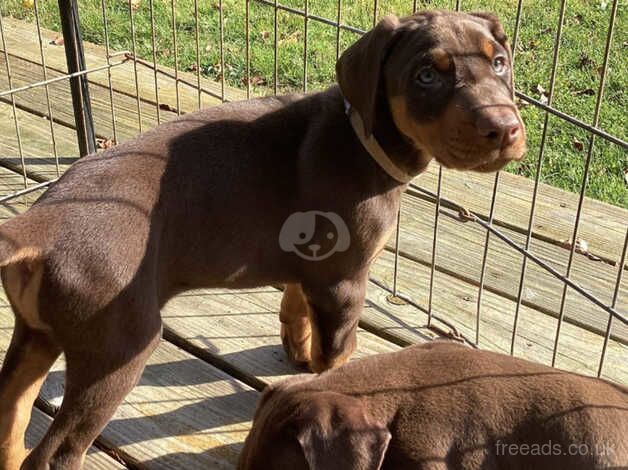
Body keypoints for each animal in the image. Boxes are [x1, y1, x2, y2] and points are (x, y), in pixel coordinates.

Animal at [0, 10, 524, 470]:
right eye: (426, 76)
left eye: (499, 62)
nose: (506, 129)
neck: (362, 135)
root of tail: (38, 225)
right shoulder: (345, 281)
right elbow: (339, 354)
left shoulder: (312, 266)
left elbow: (295, 304)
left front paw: (297, 348)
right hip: (117, 351)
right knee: (54, 455)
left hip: (36, 334)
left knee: (11, 416)